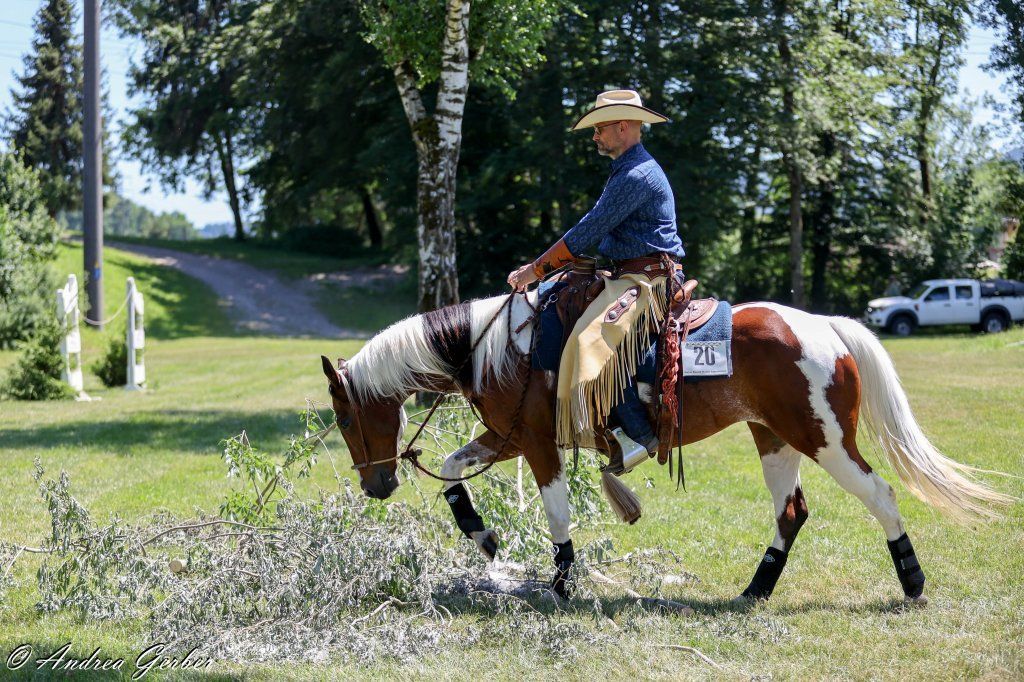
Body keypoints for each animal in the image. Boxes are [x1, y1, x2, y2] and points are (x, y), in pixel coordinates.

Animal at [319, 291, 1010, 602]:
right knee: (791, 512)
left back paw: (913, 582)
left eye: (345, 417)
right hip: (774, 438)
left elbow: (556, 512)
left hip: (827, 440)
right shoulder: (506, 437)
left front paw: (563, 582)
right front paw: (483, 536)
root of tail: (823, 325)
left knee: (881, 494)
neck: (497, 347)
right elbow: (453, 467)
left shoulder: (536, 443)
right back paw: (755, 590)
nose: (375, 484)